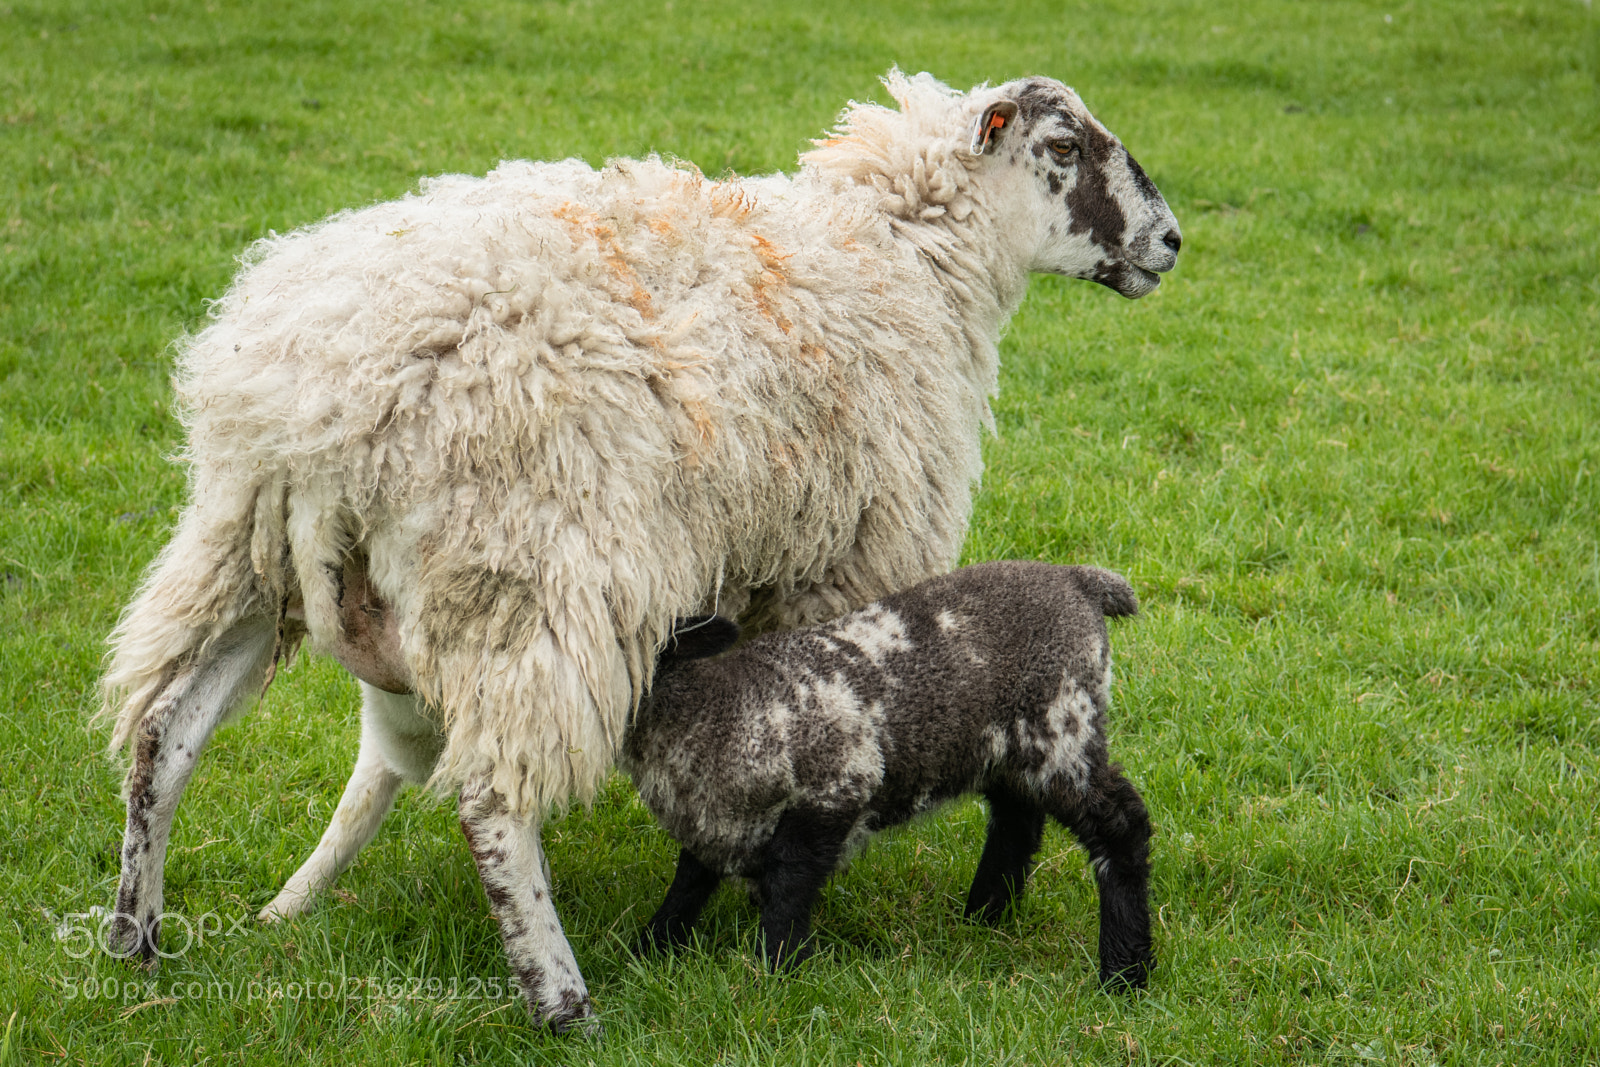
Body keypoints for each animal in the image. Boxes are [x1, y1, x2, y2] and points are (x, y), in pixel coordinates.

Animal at [623, 561, 1152, 987]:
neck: (717, 711)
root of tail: (1080, 580)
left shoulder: (839, 783)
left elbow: (788, 881)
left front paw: (778, 969)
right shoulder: (713, 823)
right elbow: (689, 881)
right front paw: (650, 948)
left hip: (1063, 726)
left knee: (1121, 827)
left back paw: (1124, 971)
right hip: (1007, 746)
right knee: (1016, 819)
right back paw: (985, 915)